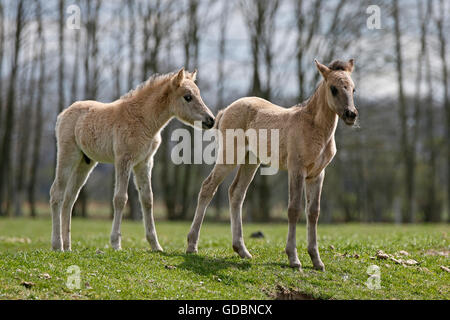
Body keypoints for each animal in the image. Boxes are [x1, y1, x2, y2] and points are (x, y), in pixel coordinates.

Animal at [50, 69, 215, 251]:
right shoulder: (123, 160)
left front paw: (155, 245)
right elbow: (120, 199)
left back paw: (68, 247)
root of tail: (63, 114)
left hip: (85, 163)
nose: (211, 120)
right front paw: (116, 243)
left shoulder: (144, 163)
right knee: (57, 193)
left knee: (69, 199)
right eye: (188, 97)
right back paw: (57, 245)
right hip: (68, 155)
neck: (143, 119)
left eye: (198, 94)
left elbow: (147, 199)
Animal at [186, 59, 358, 270]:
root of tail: (225, 110)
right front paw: (294, 258)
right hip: (229, 156)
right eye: (333, 88)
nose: (351, 114)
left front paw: (317, 261)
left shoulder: (317, 174)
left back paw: (242, 250)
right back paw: (192, 245)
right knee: (208, 187)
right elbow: (294, 209)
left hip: (251, 160)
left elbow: (313, 212)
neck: (314, 127)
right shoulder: (296, 170)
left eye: (353, 89)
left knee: (236, 193)